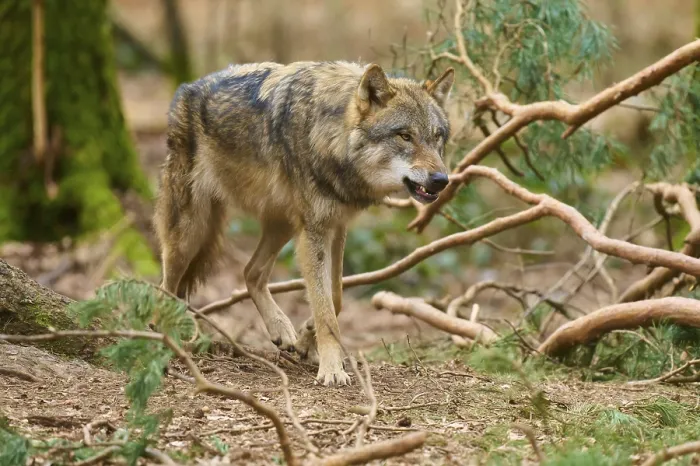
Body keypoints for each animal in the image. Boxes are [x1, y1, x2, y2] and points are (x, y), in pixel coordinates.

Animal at [153, 60, 454, 386]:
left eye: (437, 137)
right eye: (405, 136)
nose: (442, 180)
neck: (331, 135)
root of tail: (187, 88)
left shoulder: (336, 226)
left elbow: (334, 299)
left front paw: (308, 337)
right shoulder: (315, 230)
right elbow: (325, 307)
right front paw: (332, 369)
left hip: (282, 225)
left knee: (250, 272)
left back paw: (281, 328)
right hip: (189, 234)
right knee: (165, 286)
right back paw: (165, 334)